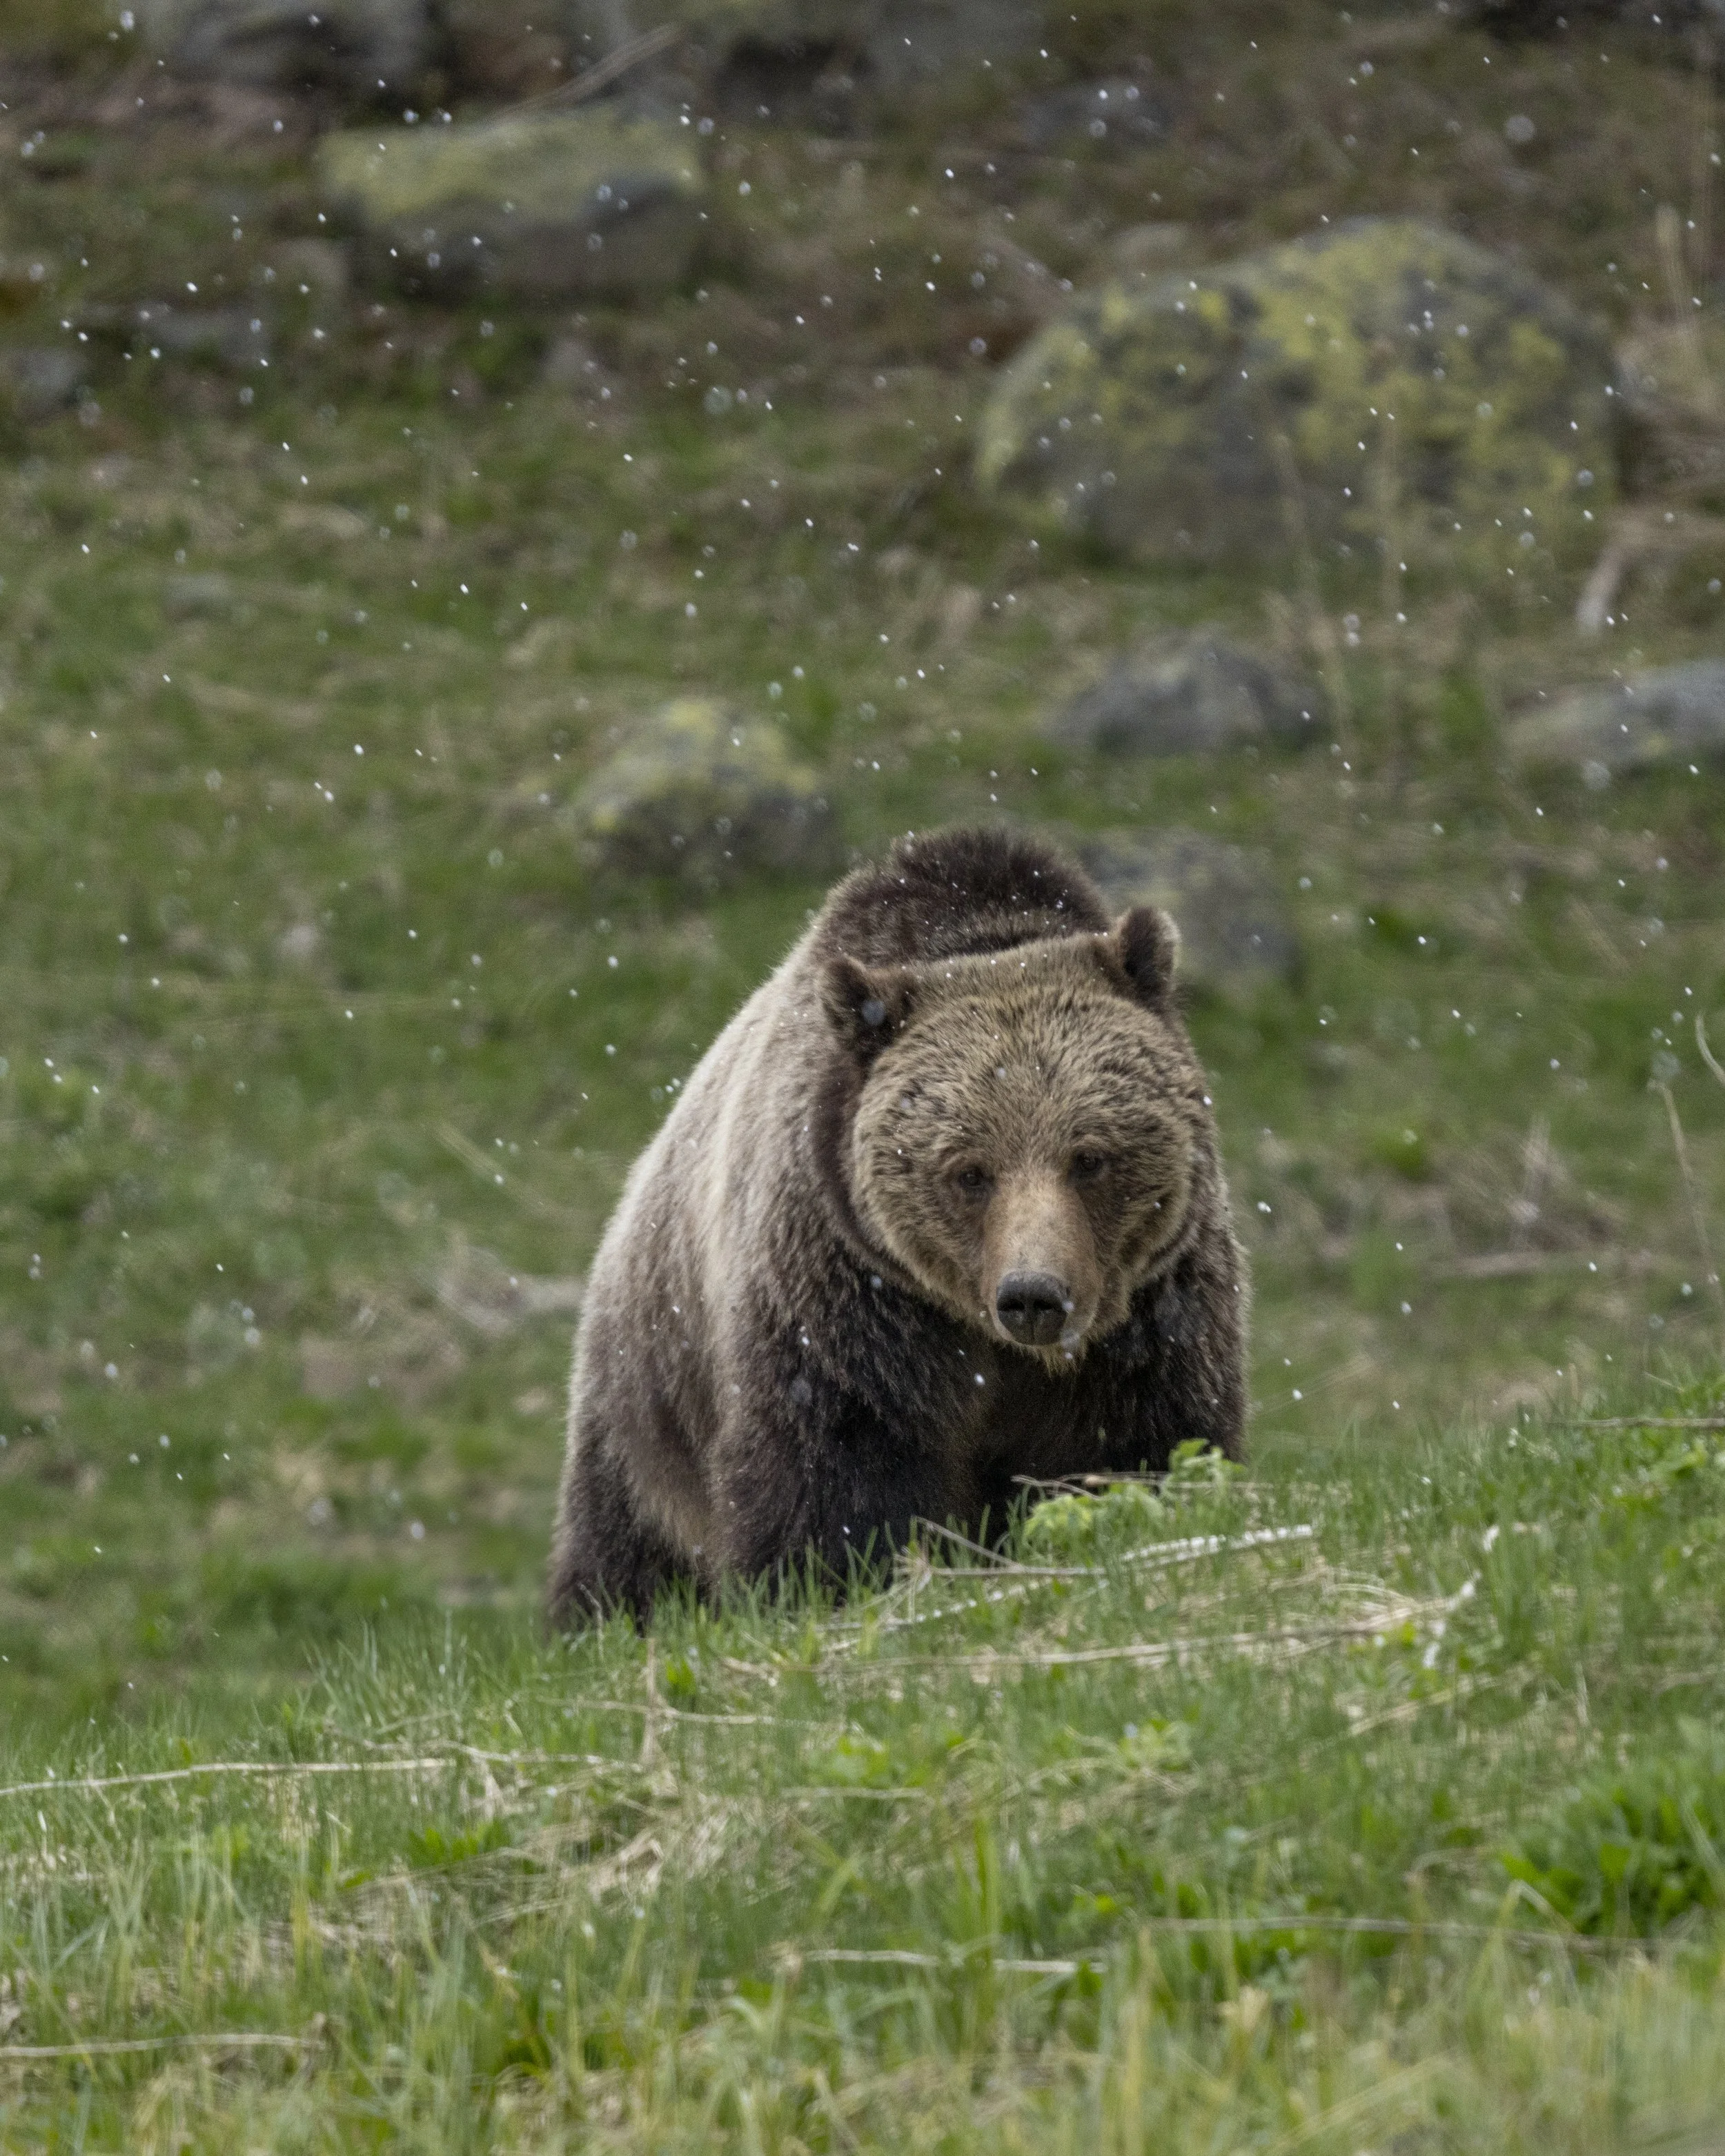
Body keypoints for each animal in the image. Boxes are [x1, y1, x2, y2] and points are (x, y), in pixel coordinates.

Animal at [548, 825, 1247, 1623]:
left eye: (1090, 1156)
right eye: (969, 1170)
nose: (1033, 1295)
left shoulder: (1153, 1307)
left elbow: (1145, 1440)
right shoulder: (846, 1295)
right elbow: (833, 1470)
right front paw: (833, 1580)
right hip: (649, 1387)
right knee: (625, 1542)